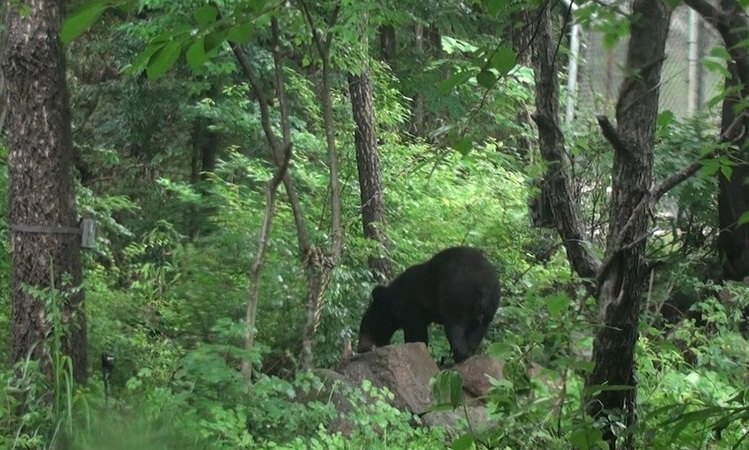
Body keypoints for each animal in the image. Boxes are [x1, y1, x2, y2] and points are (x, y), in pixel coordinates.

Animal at [358, 246, 500, 362]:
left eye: (365, 326)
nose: (361, 348)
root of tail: (484, 287)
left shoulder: (412, 306)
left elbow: (416, 333)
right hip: (488, 312)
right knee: (477, 333)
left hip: (456, 297)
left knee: (455, 328)